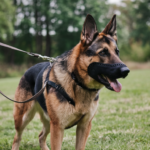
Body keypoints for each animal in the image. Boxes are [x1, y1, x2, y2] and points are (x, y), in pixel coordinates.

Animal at [11, 14, 129, 150]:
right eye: (103, 52)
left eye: (117, 52)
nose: (126, 71)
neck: (76, 81)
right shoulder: (58, 128)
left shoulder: (84, 126)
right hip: (23, 119)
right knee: (17, 138)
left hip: (48, 122)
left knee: (41, 136)